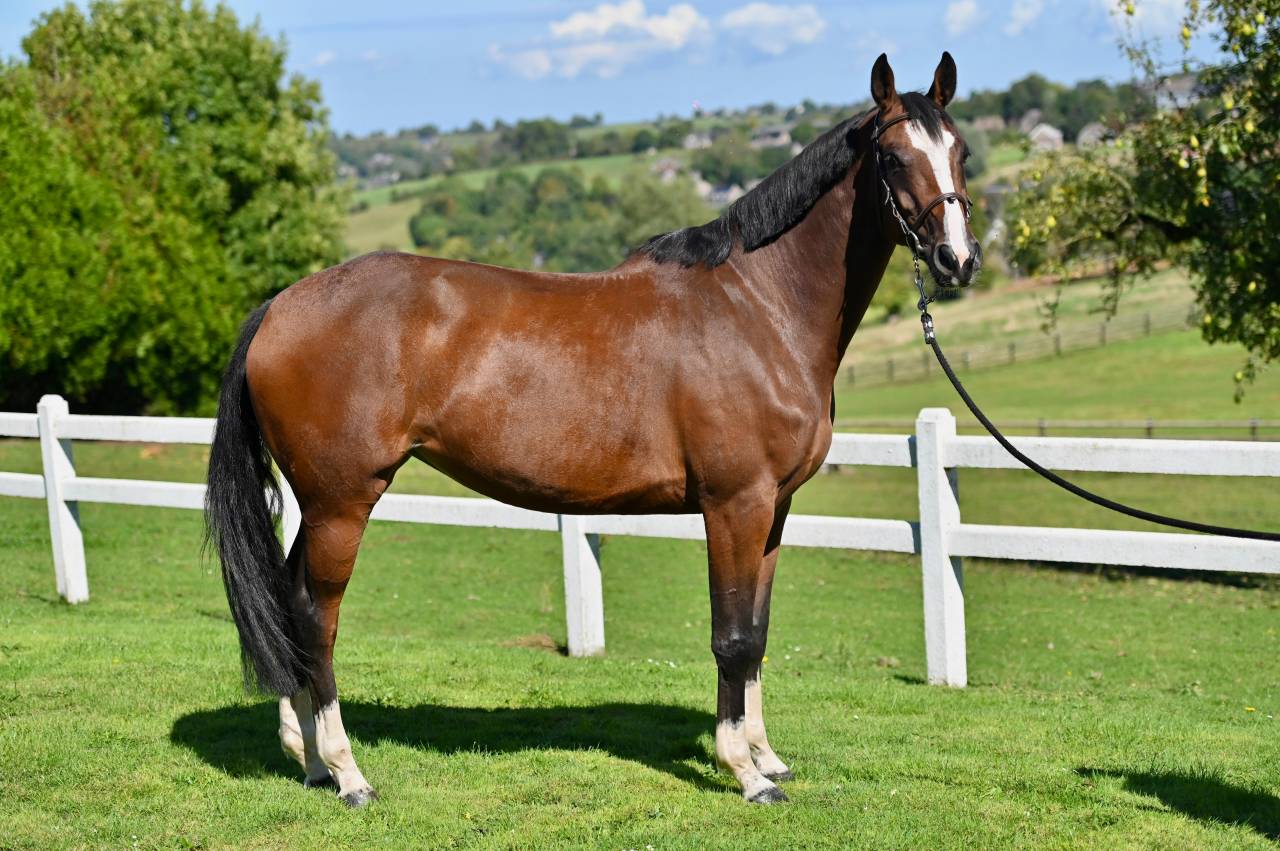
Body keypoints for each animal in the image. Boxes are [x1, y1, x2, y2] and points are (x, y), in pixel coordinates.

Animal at [205, 52, 980, 807]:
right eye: (893, 158)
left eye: (960, 150)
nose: (958, 259)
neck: (758, 308)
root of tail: (281, 305)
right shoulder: (735, 505)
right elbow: (731, 638)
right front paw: (745, 773)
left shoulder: (774, 509)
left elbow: (757, 635)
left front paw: (767, 756)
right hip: (341, 501)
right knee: (316, 618)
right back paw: (348, 772)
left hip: (319, 503)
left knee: (289, 603)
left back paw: (308, 761)